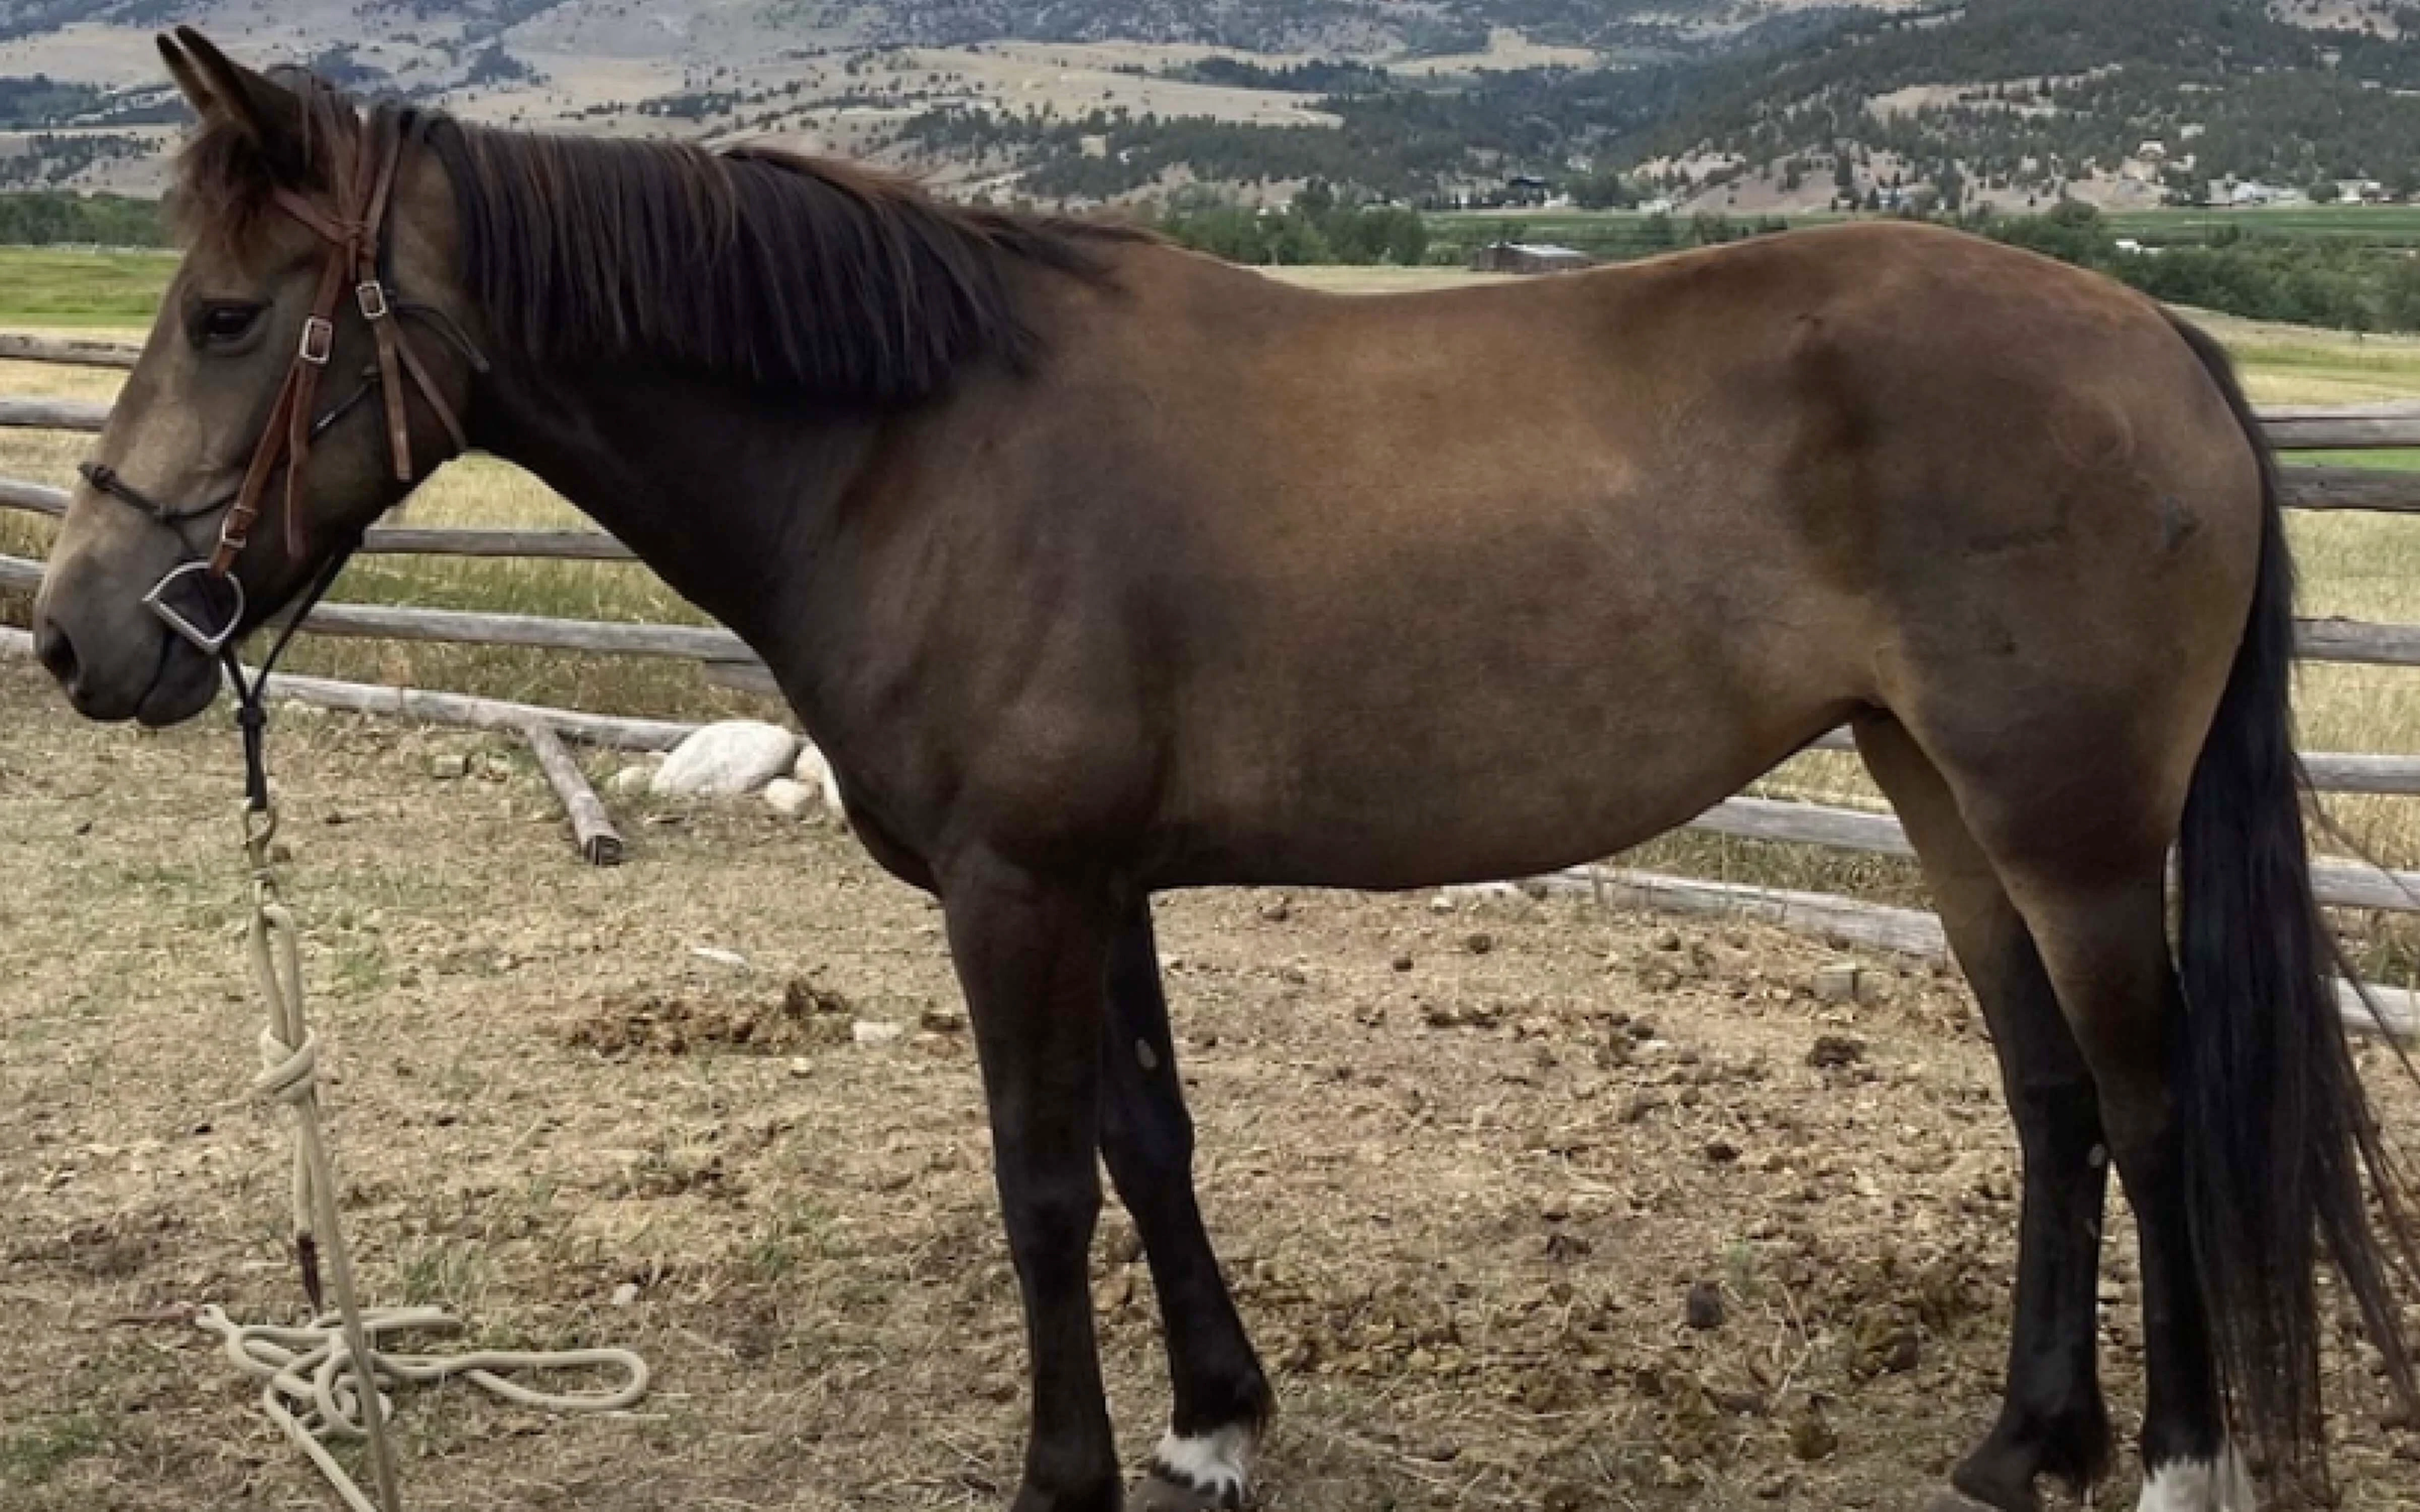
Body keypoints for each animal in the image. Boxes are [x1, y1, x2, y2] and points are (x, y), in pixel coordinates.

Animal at [29, 31, 2418, 1512]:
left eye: (230, 316)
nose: (74, 628)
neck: (919, 445)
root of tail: (2160, 337)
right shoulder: (1102, 880)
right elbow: (1154, 1142)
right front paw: (1211, 1425)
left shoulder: (1017, 885)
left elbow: (1039, 1175)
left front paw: (1067, 1464)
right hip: (1937, 793)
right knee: (2048, 1101)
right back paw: (2027, 1438)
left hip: (2069, 829)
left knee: (2146, 1100)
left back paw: (2177, 1450)